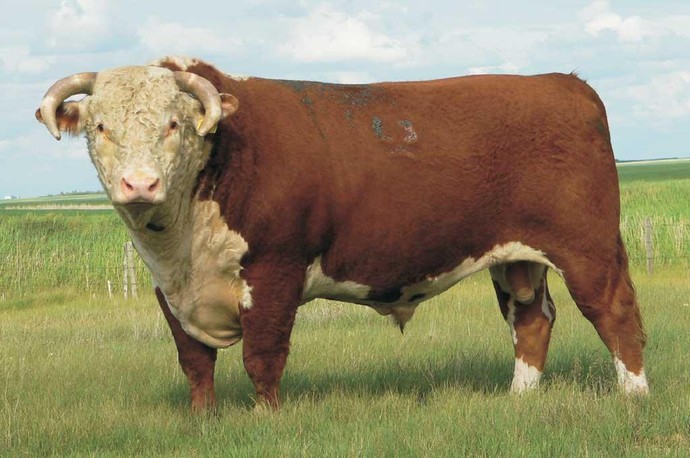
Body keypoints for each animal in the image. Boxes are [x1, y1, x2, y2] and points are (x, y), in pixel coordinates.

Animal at [36, 56, 648, 410]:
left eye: (174, 124)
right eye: (99, 126)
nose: (139, 184)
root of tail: (564, 84)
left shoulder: (275, 270)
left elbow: (263, 356)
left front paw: (267, 420)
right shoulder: (169, 288)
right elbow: (195, 361)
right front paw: (203, 422)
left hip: (588, 246)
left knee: (615, 314)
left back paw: (634, 397)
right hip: (517, 256)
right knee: (530, 318)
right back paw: (519, 399)